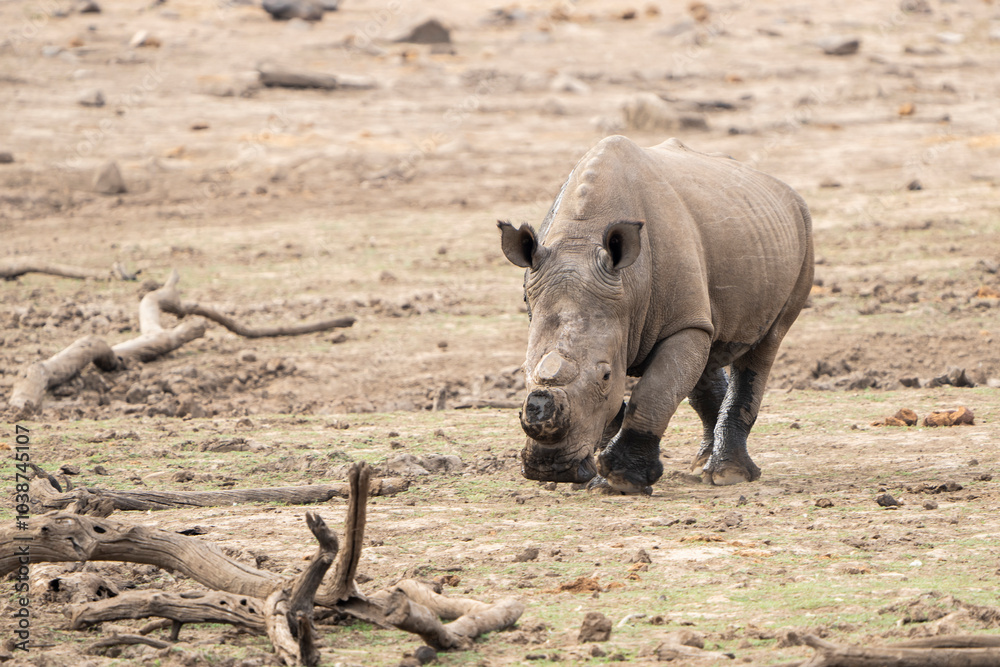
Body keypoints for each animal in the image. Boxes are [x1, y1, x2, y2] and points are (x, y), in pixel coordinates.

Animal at [498, 135, 813, 493]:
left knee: (765, 345)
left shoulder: (678, 323)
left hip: (803, 235)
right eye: (524, 371)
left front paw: (621, 481)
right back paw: (703, 464)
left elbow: (653, 392)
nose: (549, 469)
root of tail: (784, 189)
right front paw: (596, 480)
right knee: (706, 346)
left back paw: (727, 475)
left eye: (605, 376)